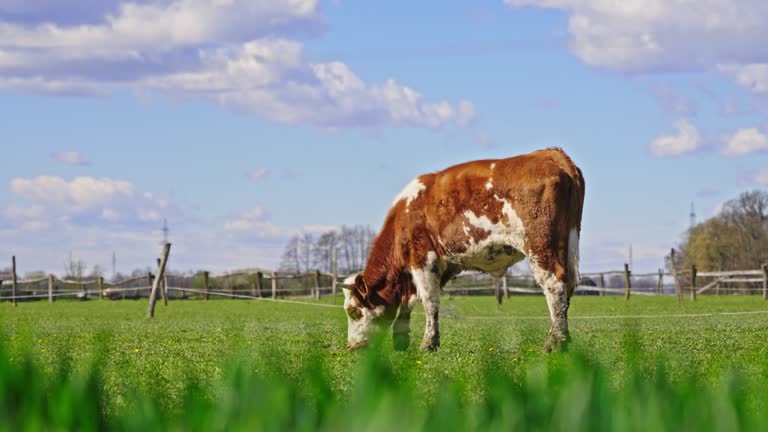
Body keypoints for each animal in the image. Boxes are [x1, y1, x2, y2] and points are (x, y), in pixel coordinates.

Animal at [340, 147, 584, 352]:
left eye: (353, 311)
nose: (352, 346)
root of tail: (551, 154)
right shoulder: (443, 264)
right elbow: (409, 302)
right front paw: (401, 341)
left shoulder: (422, 258)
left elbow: (429, 301)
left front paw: (428, 344)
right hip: (565, 243)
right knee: (567, 288)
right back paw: (562, 340)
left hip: (540, 246)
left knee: (554, 286)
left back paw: (554, 343)